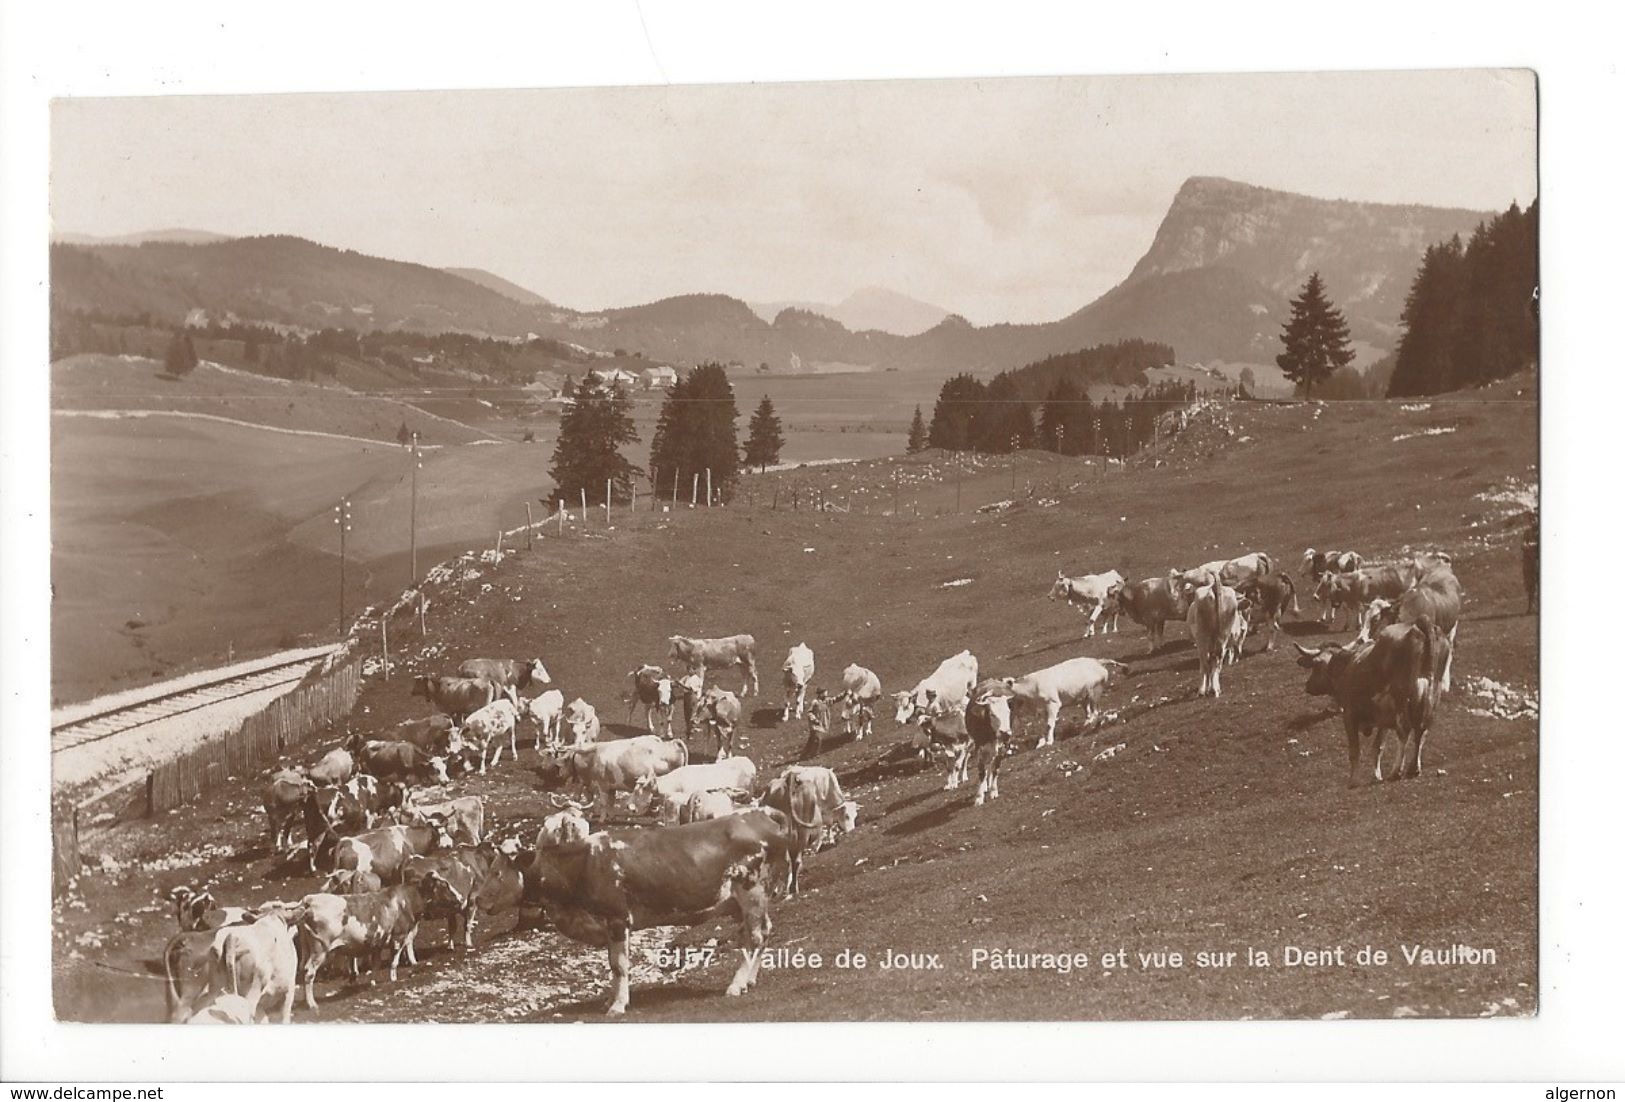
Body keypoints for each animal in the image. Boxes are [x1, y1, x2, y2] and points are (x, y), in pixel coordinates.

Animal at [526, 812, 793, 1020]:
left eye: (545, 846)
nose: (529, 875)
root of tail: (759, 813)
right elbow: (612, 964)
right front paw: (610, 1000)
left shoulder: (617, 918)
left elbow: (619, 965)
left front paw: (618, 1005)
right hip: (739, 904)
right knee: (757, 934)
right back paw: (749, 981)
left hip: (752, 892)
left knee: (756, 937)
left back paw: (736, 984)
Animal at [533, 737, 685, 815]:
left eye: (549, 754)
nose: (542, 766)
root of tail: (671, 743)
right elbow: (609, 801)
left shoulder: (595, 784)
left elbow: (599, 801)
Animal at [763, 767, 864, 897]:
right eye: (846, 816)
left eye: (855, 816)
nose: (852, 830)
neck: (828, 784)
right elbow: (826, 825)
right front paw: (819, 845)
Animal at [994, 656, 1124, 750]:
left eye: (1008, 701)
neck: (1031, 687)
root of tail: (1097, 661)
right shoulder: (1042, 709)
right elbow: (1043, 725)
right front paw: (1041, 742)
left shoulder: (1053, 704)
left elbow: (1049, 724)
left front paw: (1049, 741)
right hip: (1084, 697)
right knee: (1089, 713)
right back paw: (1086, 726)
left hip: (1094, 692)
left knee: (1096, 712)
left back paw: (1087, 729)